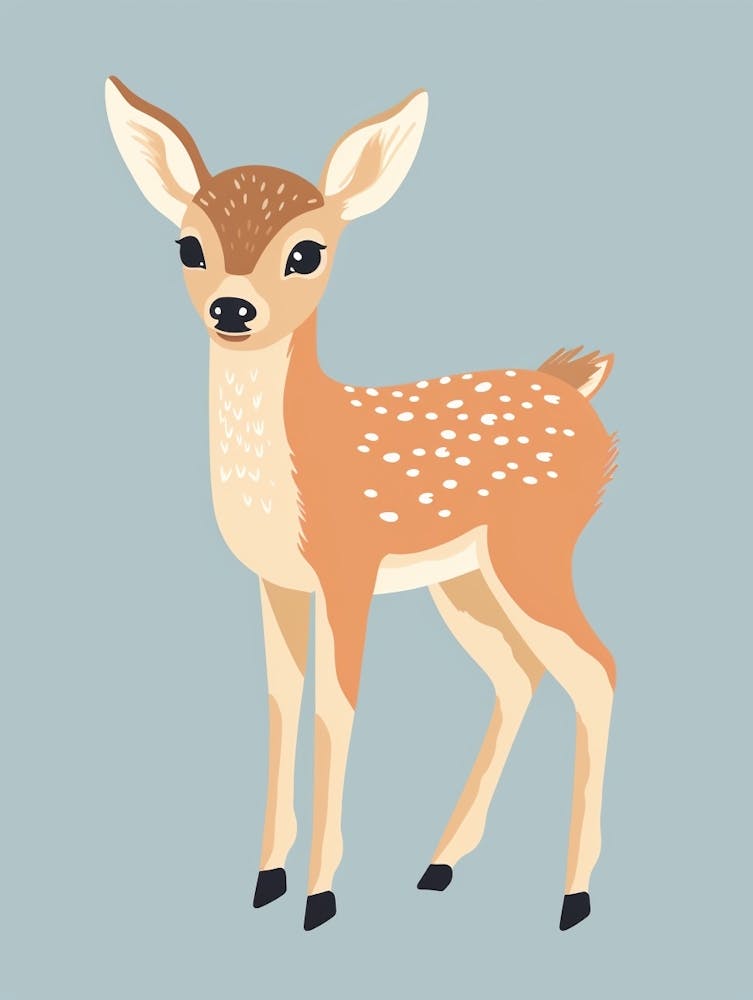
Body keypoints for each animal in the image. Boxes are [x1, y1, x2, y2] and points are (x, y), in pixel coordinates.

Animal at [105, 76, 618, 933]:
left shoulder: (349, 565)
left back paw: (573, 897)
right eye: (188, 246)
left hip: (536, 547)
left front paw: (320, 896)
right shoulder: (276, 580)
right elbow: (282, 703)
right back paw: (439, 866)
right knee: (519, 675)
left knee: (595, 669)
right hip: (464, 578)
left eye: (306, 252)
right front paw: (266, 879)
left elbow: (334, 709)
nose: (232, 310)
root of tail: (574, 386)